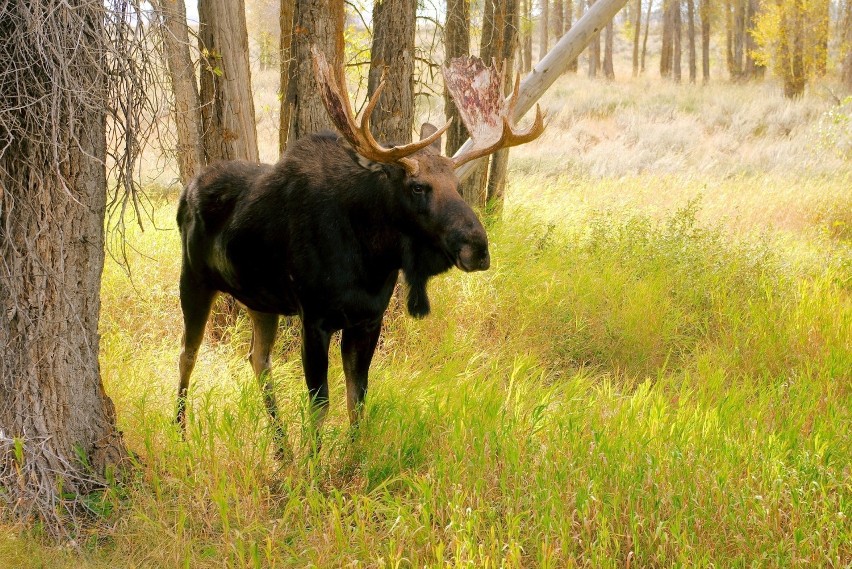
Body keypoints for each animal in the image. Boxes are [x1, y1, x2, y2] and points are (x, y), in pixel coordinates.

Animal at [176, 51, 544, 454]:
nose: (477, 247)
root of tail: (186, 191)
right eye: (418, 186)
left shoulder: (368, 319)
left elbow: (358, 398)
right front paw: (314, 461)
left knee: (258, 359)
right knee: (187, 355)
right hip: (193, 280)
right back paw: (180, 430)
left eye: (458, 185)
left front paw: (353, 455)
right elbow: (320, 402)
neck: (371, 258)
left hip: (260, 300)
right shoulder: (314, 317)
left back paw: (282, 446)